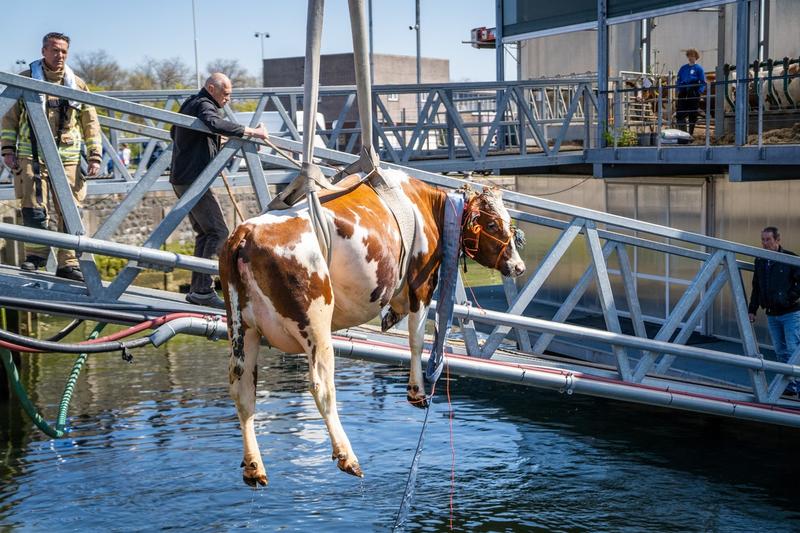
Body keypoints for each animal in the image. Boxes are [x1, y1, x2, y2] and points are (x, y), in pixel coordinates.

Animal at [219, 168, 528, 484]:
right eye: (492, 223)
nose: (519, 267)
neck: (426, 203)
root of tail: (245, 233)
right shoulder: (421, 283)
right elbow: (416, 339)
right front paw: (416, 390)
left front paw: (391, 318)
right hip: (315, 323)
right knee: (321, 387)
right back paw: (347, 456)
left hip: (244, 329)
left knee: (243, 390)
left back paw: (254, 466)